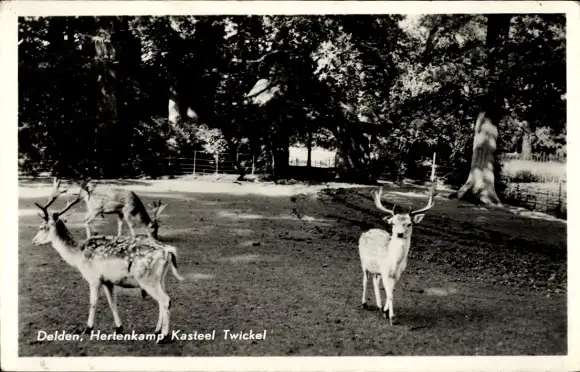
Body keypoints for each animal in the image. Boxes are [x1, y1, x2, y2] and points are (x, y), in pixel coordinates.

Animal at [31, 180, 184, 342]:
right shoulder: (108, 281)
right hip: (161, 278)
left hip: (147, 279)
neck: (77, 256)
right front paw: (119, 329)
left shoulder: (94, 278)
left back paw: (163, 336)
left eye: (42, 227)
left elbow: (93, 302)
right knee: (164, 300)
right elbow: (112, 303)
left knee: (165, 300)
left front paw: (88, 329)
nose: (33, 241)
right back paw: (156, 331)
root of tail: (169, 250)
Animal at [358, 185, 436, 324]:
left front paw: (385, 311)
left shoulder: (397, 274)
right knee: (365, 280)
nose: (399, 233)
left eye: (409, 223)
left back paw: (378, 305)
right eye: (393, 223)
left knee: (375, 281)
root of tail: (367, 231)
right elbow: (390, 294)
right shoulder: (385, 272)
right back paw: (364, 303)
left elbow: (391, 291)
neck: (395, 262)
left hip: (377, 270)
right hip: (363, 262)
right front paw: (391, 317)